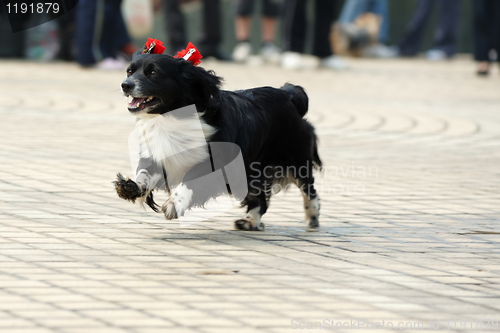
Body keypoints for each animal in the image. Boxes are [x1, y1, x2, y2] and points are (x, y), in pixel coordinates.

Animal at [114, 48, 322, 230]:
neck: (173, 117)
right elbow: (145, 173)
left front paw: (175, 203)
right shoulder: (159, 153)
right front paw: (130, 187)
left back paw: (312, 217)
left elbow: (191, 177)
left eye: (154, 72)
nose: (125, 84)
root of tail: (289, 94)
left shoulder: (219, 162)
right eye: (129, 71)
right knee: (260, 198)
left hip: (295, 156)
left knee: (308, 189)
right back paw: (250, 221)